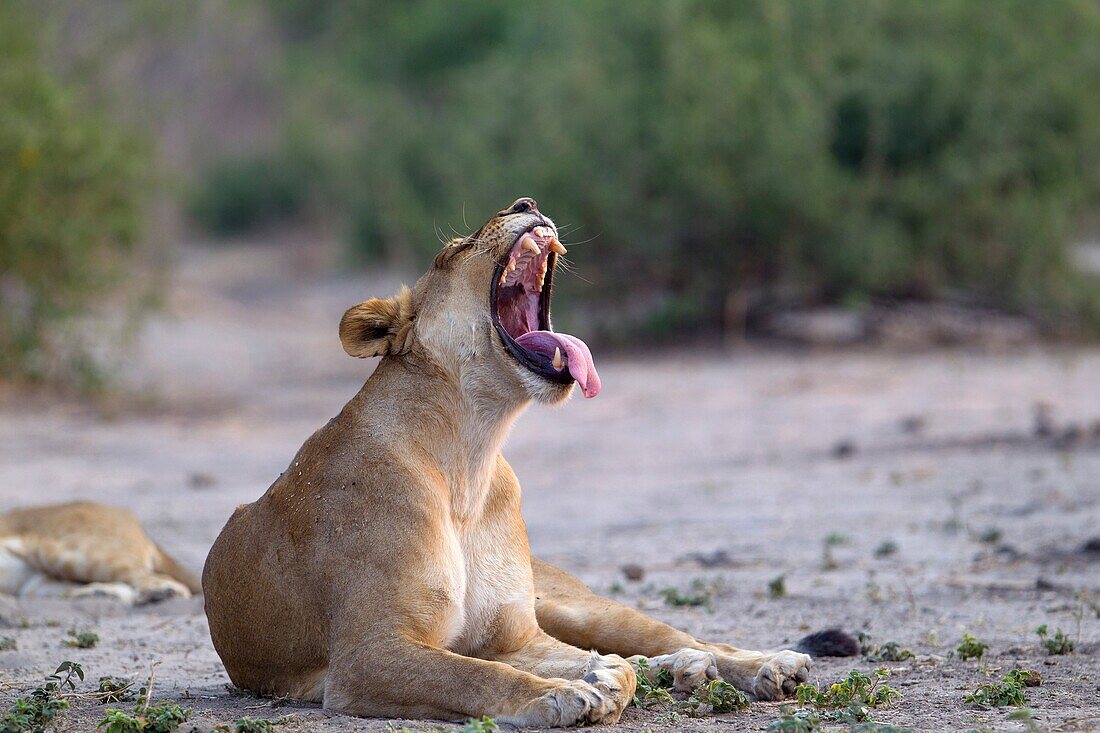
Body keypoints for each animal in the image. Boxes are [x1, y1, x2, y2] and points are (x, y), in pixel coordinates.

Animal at [202, 197, 853, 721]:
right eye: (453, 250)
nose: (526, 202)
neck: (471, 454)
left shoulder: (513, 635)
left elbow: (581, 663)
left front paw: (597, 681)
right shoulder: (369, 654)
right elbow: (472, 674)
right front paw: (561, 695)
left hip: (578, 606)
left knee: (672, 637)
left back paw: (761, 666)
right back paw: (681, 671)